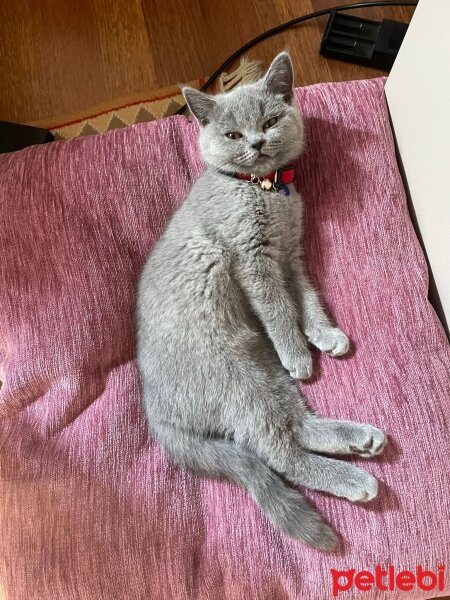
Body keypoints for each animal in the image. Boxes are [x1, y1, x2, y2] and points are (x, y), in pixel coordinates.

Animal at [135, 54, 384, 552]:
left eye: (270, 121)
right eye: (232, 135)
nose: (256, 141)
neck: (265, 190)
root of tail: (157, 412)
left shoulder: (291, 253)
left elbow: (306, 295)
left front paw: (324, 334)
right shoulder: (254, 260)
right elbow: (279, 307)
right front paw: (299, 351)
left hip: (261, 371)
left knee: (296, 429)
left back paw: (360, 440)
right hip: (239, 379)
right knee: (279, 452)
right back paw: (355, 479)